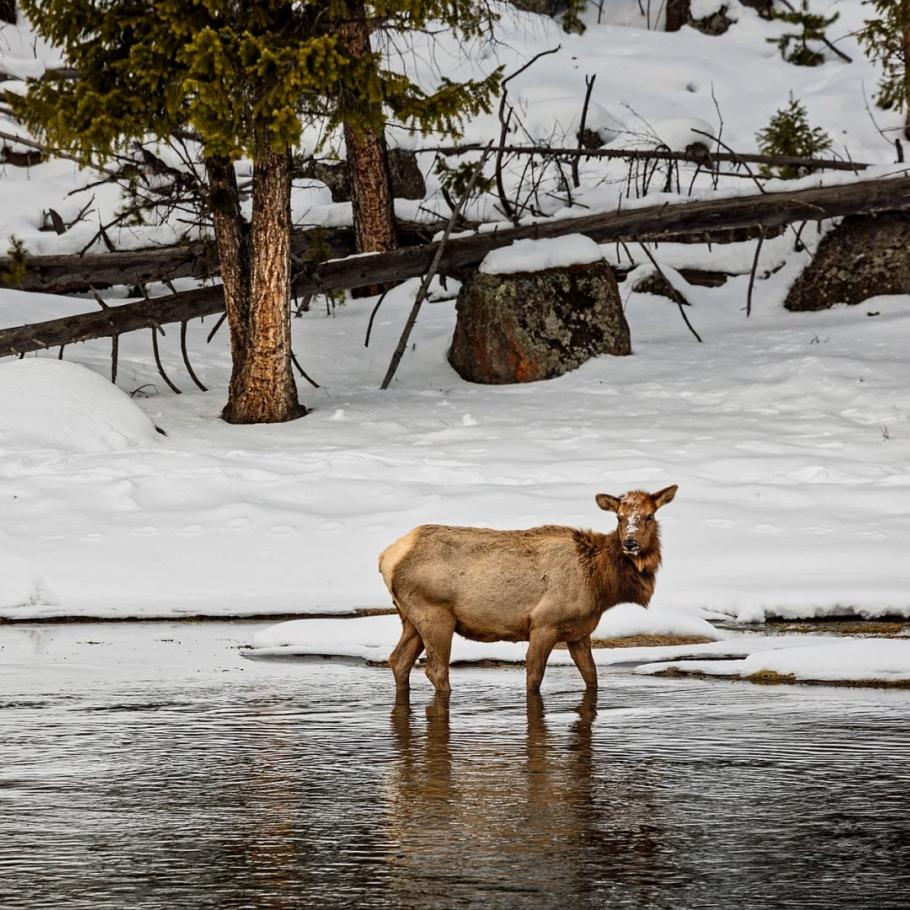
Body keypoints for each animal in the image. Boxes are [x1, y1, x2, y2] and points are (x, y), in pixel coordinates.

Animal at [378, 488, 676, 696]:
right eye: (619, 518)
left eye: (649, 516)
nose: (630, 543)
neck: (602, 584)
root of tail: (387, 557)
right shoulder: (544, 623)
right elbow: (534, 677)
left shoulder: (579, 631)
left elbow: (591, 676)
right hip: (434, 614)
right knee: (435, 669)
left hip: (410, 618)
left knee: (398, 660)